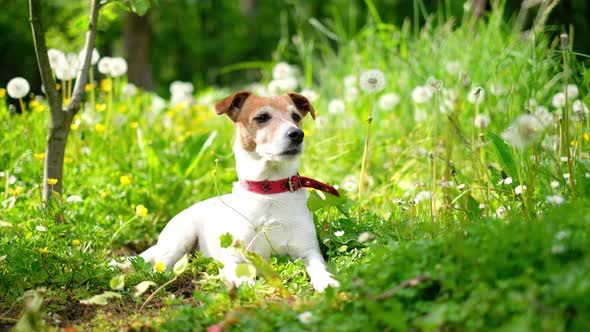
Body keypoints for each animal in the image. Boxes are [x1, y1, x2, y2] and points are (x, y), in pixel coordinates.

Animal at [122, 92, 340, 292]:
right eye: (262, 117)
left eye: (295, 116)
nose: (297, 134)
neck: (269, 191)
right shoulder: (234, 256)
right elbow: (239, 272)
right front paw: (245, 284)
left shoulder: (308, 251)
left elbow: (319, 267)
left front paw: (327, 280)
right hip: (180, 238)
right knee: (158, 268)